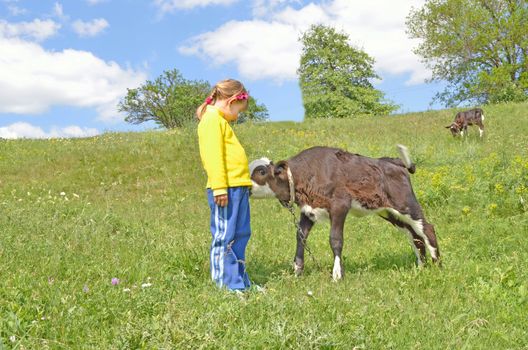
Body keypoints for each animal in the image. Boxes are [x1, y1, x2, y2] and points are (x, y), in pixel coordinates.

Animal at [250, 146, 440, 282]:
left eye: (261, 171)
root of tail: (392, 161)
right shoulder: (308, 211)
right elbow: (301, 237)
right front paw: (297, 271)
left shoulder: (340, 205)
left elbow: (335, 239)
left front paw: (337, 275)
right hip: (389, 211)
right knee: (414, 234)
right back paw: (420, 267)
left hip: (405, 204)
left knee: (427, 228)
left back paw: (437, 264)